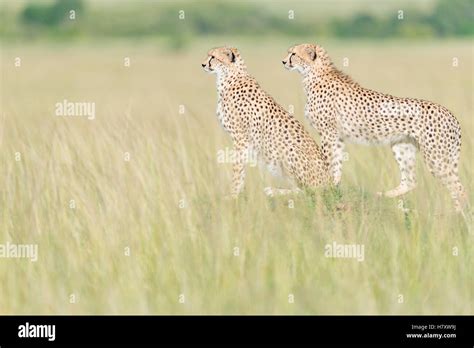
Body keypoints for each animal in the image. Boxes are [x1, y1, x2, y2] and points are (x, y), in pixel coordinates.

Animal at [200, 47, 330, 198]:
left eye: (213, 57)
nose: (203, 64)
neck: (229, 77)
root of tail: (330, 181)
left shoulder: (240, 137)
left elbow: (237, 168)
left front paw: (233, 194)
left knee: (309, 191)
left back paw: (274, 191)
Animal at [282, 43, 466, 212]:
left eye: (294, 54)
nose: (283, 61)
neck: (313, 73)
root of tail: (451, 115)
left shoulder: (328, 132)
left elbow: (328, 159)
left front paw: (324, 185)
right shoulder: (337, 135)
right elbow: (337, 163)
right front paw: (333, 185)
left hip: (436, 157)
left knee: (459, 189)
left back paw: (457, 216)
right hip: (402, 146)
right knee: (410, 181)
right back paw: (382, 195)